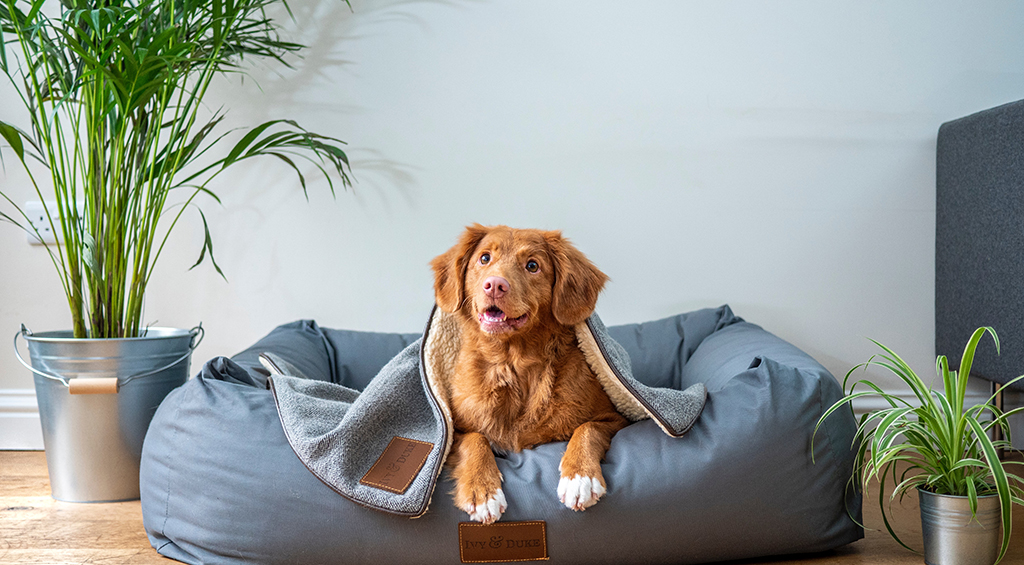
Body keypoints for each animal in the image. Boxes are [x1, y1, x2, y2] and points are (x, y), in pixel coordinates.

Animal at [428, 223, 626, 524]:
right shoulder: (453, 430)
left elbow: (587, 428)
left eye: (532, 265)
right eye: (484, 258)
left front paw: (580, 477)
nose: (494, 285)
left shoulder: (615, 418)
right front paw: (483, 491)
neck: (513, 363)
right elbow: (475, 439)